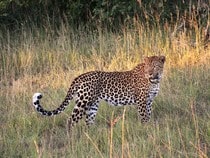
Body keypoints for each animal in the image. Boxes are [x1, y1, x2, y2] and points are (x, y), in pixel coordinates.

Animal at [32, 55, 165, 131]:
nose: (149, 73)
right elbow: (144, 116)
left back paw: (91, 136)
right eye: (147, 66)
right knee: (71, 120)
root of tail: (79, 77)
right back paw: (72, 139)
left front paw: (149, 127)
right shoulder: (141, 100)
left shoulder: (149, 100)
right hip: (83, 102)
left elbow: (149, 115)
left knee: (88, 121)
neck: (155, 80)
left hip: (93, 104)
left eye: (155, 66)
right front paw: (145, 128)